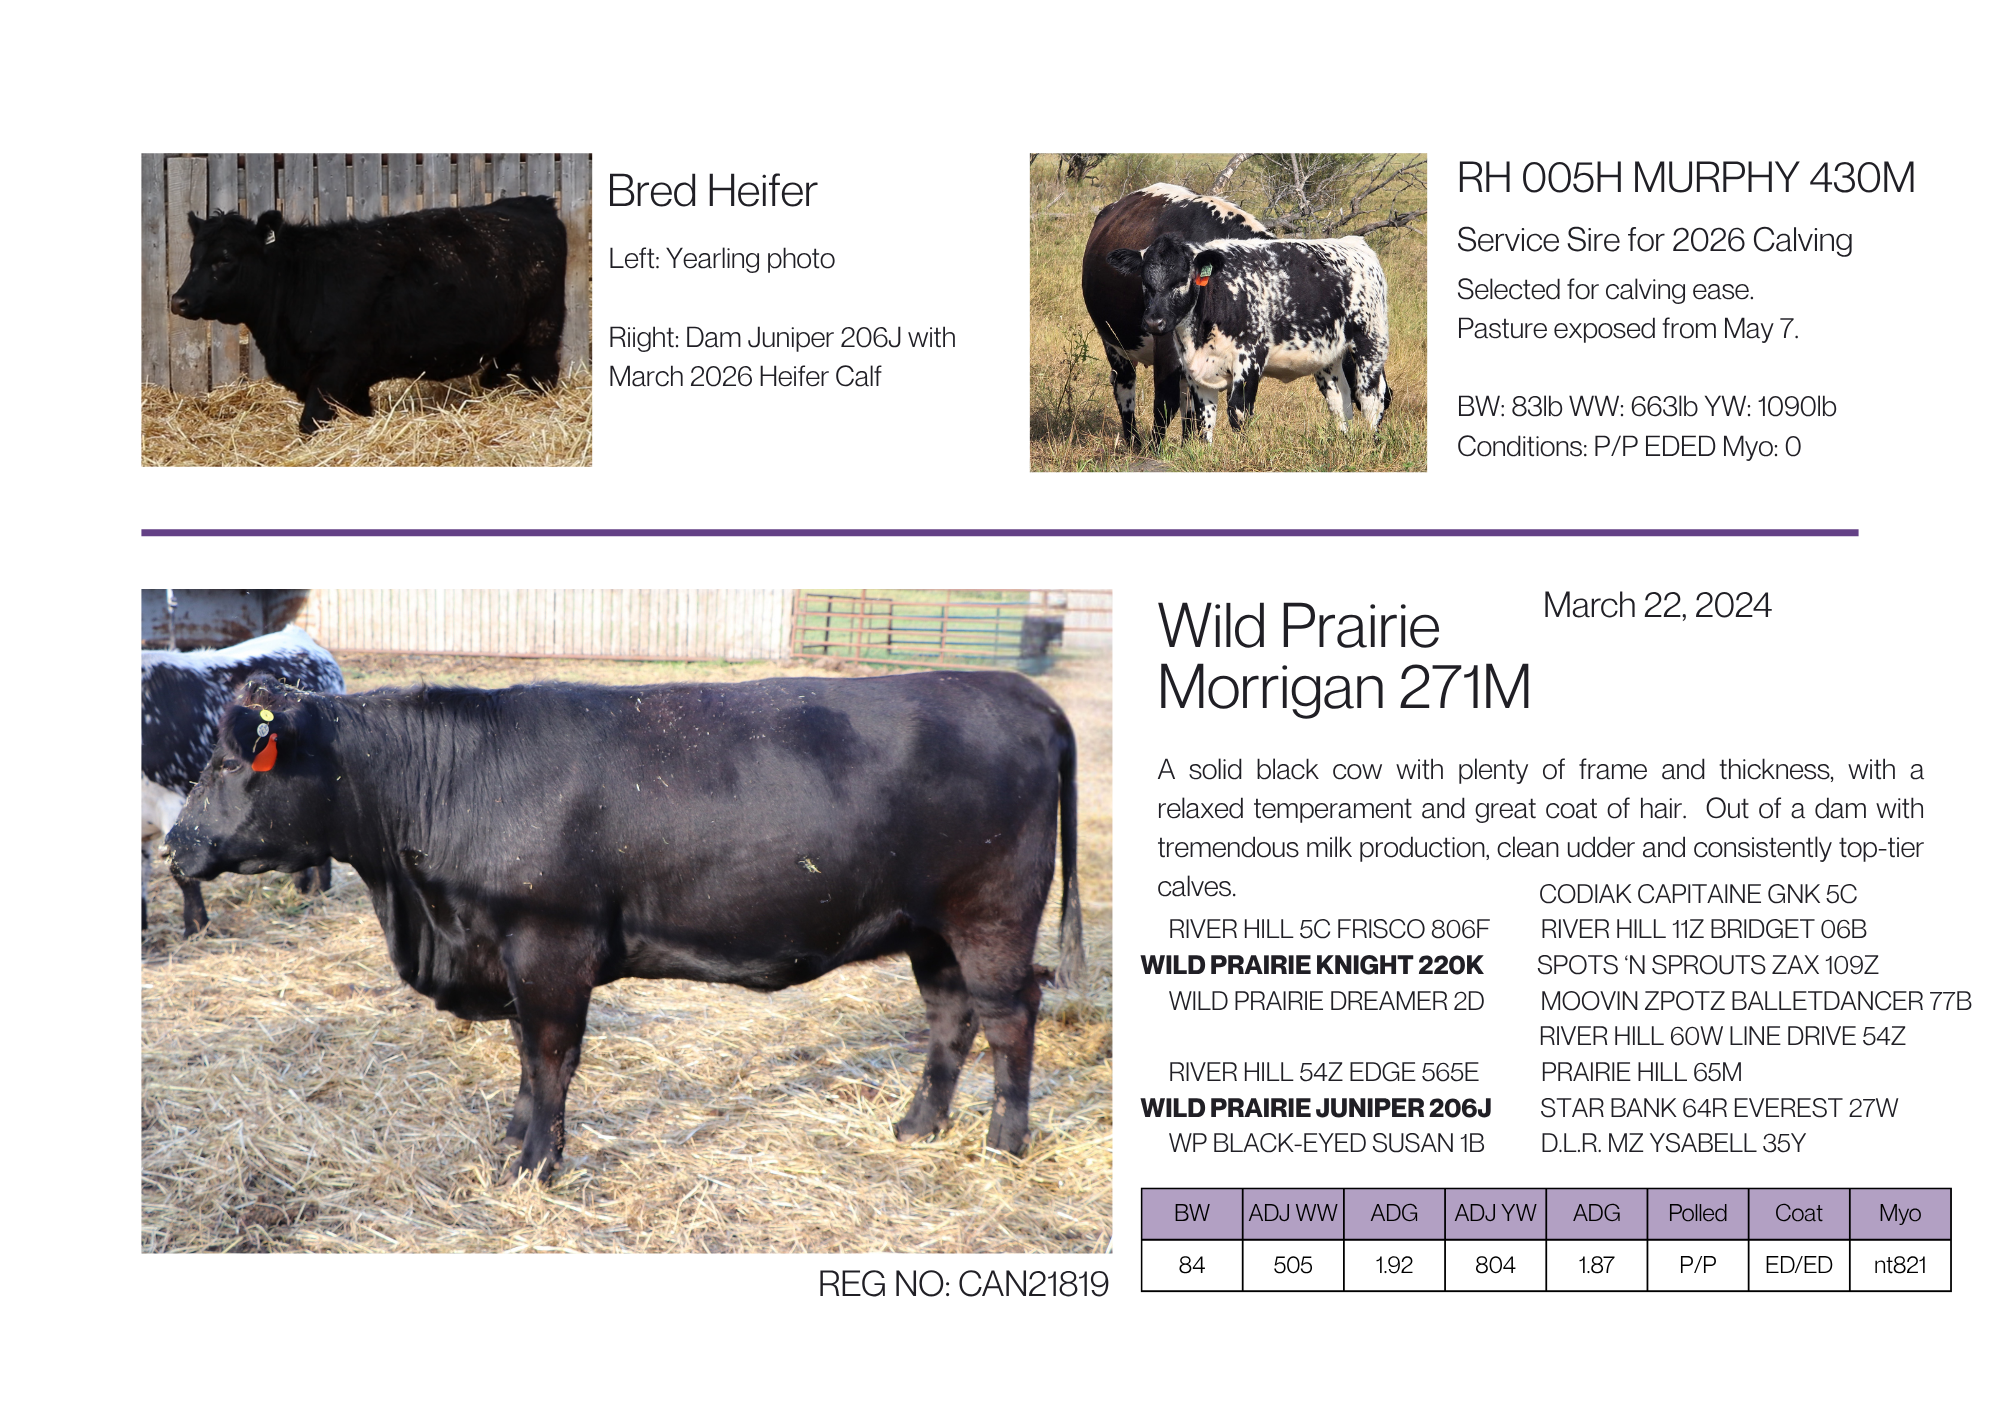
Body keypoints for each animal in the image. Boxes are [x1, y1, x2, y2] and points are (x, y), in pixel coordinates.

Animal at [165, 671, 1084, 1180]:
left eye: (228, 764)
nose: (173, 845)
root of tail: (1021, 692)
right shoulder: (512, 956)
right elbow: (526, 1060)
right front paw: (517, 1139)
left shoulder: (549, 949)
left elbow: (548, 1058)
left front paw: (533, 1163)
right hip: (930, 931)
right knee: (951, 1020)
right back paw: (918, 1126)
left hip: (991, 918)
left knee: (1010, 1020)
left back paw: (1004, 1143)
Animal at [170, 196, 567, 434]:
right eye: (193, 258)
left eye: (224, 259)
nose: (179, 301)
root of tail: (531, 203)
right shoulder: (353, 380)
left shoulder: (336, 368)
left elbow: (310, 423)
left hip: (543, 334)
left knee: (543, 376)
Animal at [1081, 183, 1270, 446]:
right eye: (1144, 281)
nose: (1153, 320)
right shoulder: (1166, 348)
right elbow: (1165, 403)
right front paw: (1155, 449)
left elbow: (1236, 409)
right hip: (1114, 342)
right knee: (1124, 387)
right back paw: (1134, 442)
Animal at [1105, 232, 1392, 442]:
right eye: (1145, 282)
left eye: (1181, 281)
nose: (1154, 321)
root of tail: (1355, 243)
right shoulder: (1196, 371)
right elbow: (1204, 419)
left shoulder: (1250, 359)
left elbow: (1238, 412)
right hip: (1328, 356)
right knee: (1339, 400)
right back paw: (1345, 441)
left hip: (1371, 342)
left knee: (1370, 397)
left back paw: (1369, 442)